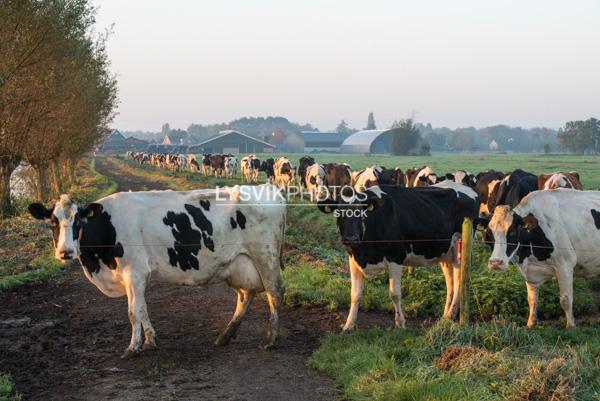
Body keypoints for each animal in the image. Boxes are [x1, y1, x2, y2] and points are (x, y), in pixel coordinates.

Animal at [29, 186, 288, 354]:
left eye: (78, 222)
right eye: (52, 222)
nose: (65, 252)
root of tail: (269, 189)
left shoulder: (134, 273)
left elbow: (133, 311)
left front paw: (133, 347)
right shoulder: (136, 278)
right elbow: (142, 309)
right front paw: (150, 340)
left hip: (265, 256)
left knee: (275, 294)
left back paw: (272, 339)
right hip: (237, 265)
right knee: (245, 296)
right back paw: (225, 336)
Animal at [318, 183, 478, 330]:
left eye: (361, 211)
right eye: (338, 212)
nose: (351, 238)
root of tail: (469, 188)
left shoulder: (395, 258)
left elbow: (394, 293)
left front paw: (400, 323)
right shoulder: (354, 259)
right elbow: (354, 294)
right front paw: (349, 325)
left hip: (460, 249)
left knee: (459, 281)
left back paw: (451, 314)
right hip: (444, 253)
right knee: (450, 282)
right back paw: (445, 316)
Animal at [486, 189, 600, 326]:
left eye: (512, 231)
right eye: (489, 232)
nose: (495, 263)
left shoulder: (565, 264)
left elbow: (566, 300)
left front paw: (571, 325)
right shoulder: (530, 270)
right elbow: (532, 300)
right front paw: (530, 324)